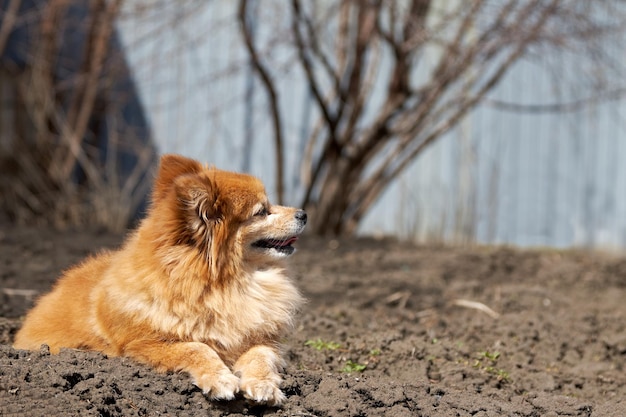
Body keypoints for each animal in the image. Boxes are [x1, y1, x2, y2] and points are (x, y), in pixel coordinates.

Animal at [13, 153, 306, 404]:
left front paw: (263, 384)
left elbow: (260, 355)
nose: (303, 214)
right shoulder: (144, 344)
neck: (228, 285)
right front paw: (220, 378)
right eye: (261, 211)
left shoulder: (260, 339)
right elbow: (196, 347)